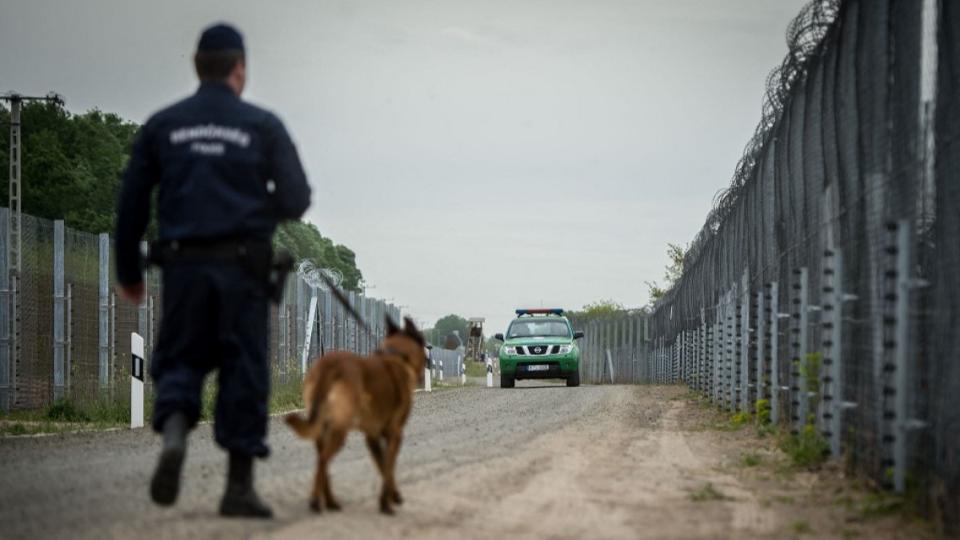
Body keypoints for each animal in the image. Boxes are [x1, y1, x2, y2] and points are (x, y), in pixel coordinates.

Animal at [284, 316, 428, 516]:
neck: (396, 356)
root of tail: (331, 365)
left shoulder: (372, 437)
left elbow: (383, 467)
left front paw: (390, 497)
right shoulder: (395, 434)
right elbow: (389, 466)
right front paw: (388, 502)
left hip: (323, 430)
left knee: (323, 463)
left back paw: (330, 501)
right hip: (339, 430)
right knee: (323, 461)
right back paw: (315, 501)